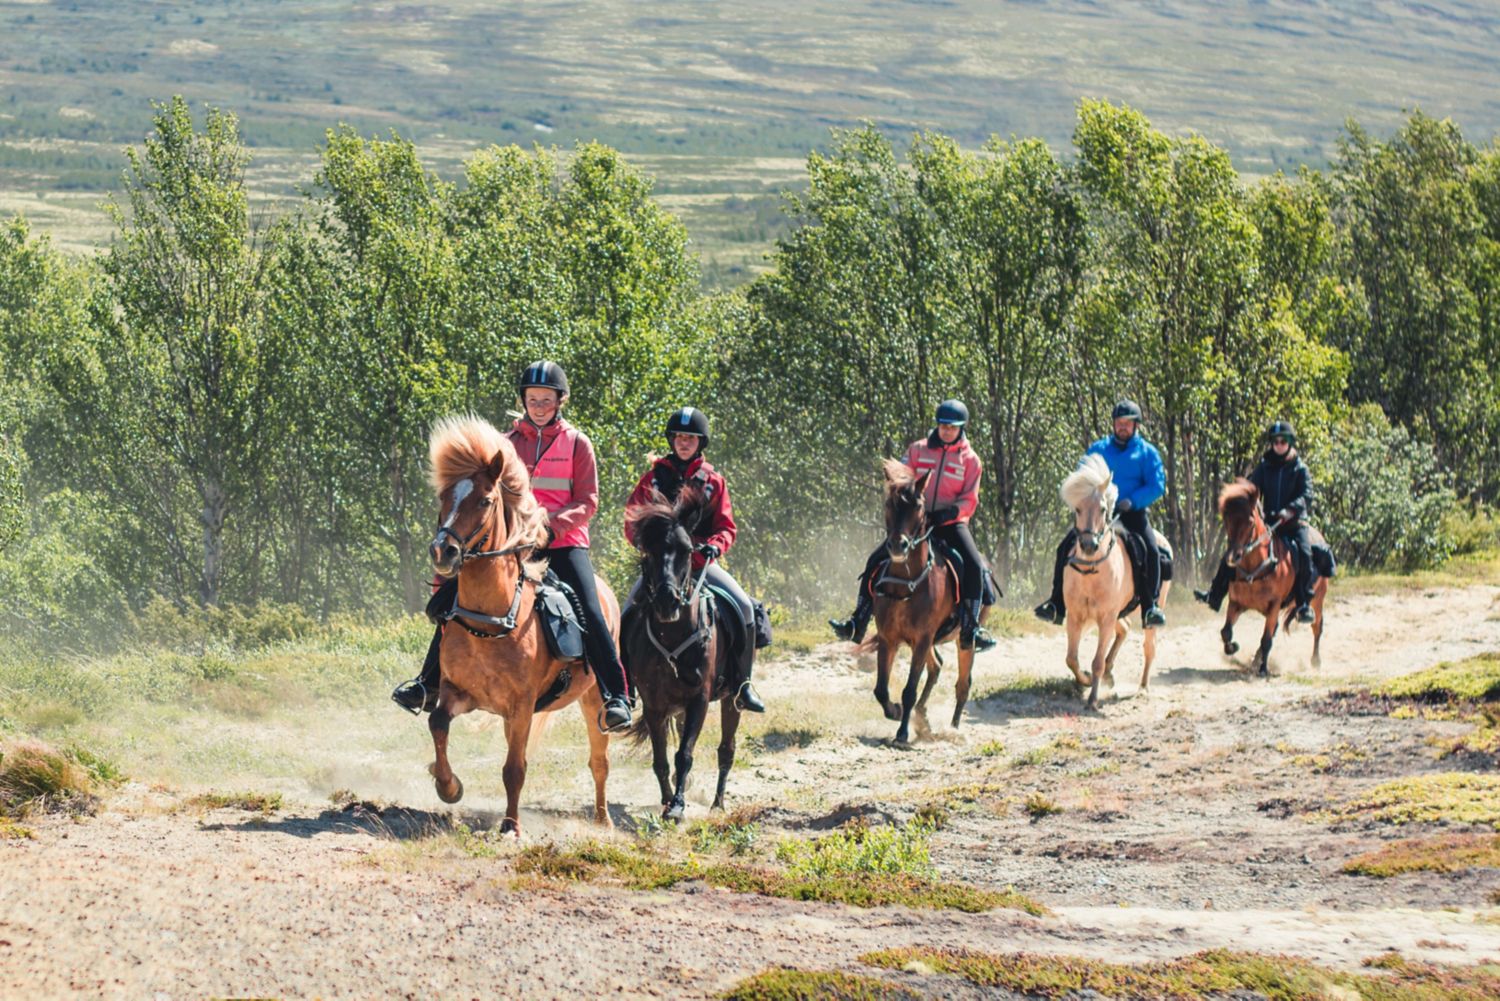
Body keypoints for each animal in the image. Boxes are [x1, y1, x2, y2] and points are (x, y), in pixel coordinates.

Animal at [423, 414, 615, 840]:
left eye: (485, 500)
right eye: (444, 498)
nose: (443, 552)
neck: (490, 621)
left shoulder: (522, 705)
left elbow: (514, 768)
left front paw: (511, 826)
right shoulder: (458, 691)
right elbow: (437, 722)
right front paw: (448, 786)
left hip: (594, 700)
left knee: (599, 761)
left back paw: (603, 820)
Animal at [618, 486, 741, 822]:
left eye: (688, 550)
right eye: (648, 550)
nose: (666, 602)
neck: (673, 637)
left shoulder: (700, 700)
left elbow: (684, 754)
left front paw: (677, 806)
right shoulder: (654, 705)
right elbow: (661, 759)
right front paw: (666, 800)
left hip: (732, 698)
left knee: (726, 750)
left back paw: (718, 803)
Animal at [870, 459, 984, 744]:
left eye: (918, 506)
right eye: (888, 503)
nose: (897, 546)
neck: (907, 584)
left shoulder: (922, 639)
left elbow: (909, 689)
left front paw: (902, 733)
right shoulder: (889, 638)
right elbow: (881, 689)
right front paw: (895, 711)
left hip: (963, 640)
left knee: (963, 685)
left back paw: (952, 727)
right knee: (936, 667)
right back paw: (923, 717)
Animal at [1062, 456, 1164, 711]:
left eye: (1102, 509)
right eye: (1077, 509)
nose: (1089, 546)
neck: (1091, 572)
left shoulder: (1106, 617)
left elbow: (1096, 660)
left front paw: (1092, 699)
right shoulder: (1075, 615)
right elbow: (1071, 659)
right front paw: (1086, 680)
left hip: (1149, 611)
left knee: (1149, 647)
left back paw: (1143, 688)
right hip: (1119, 612)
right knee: (1125, 629)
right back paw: (1110, 674)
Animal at [1218, 480, 1326, 681]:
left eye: (1250, 522)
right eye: (1226, 519)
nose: (1233, 557)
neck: (1256, 568)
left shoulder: (1274, 605)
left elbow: (1266, 639)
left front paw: (1263, 669)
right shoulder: (1236, 603)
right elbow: (1226, 632)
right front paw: (1233, 648)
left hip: (1317, 600)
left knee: (1317, 627)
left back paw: (1315, 660)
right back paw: (1255, 660)